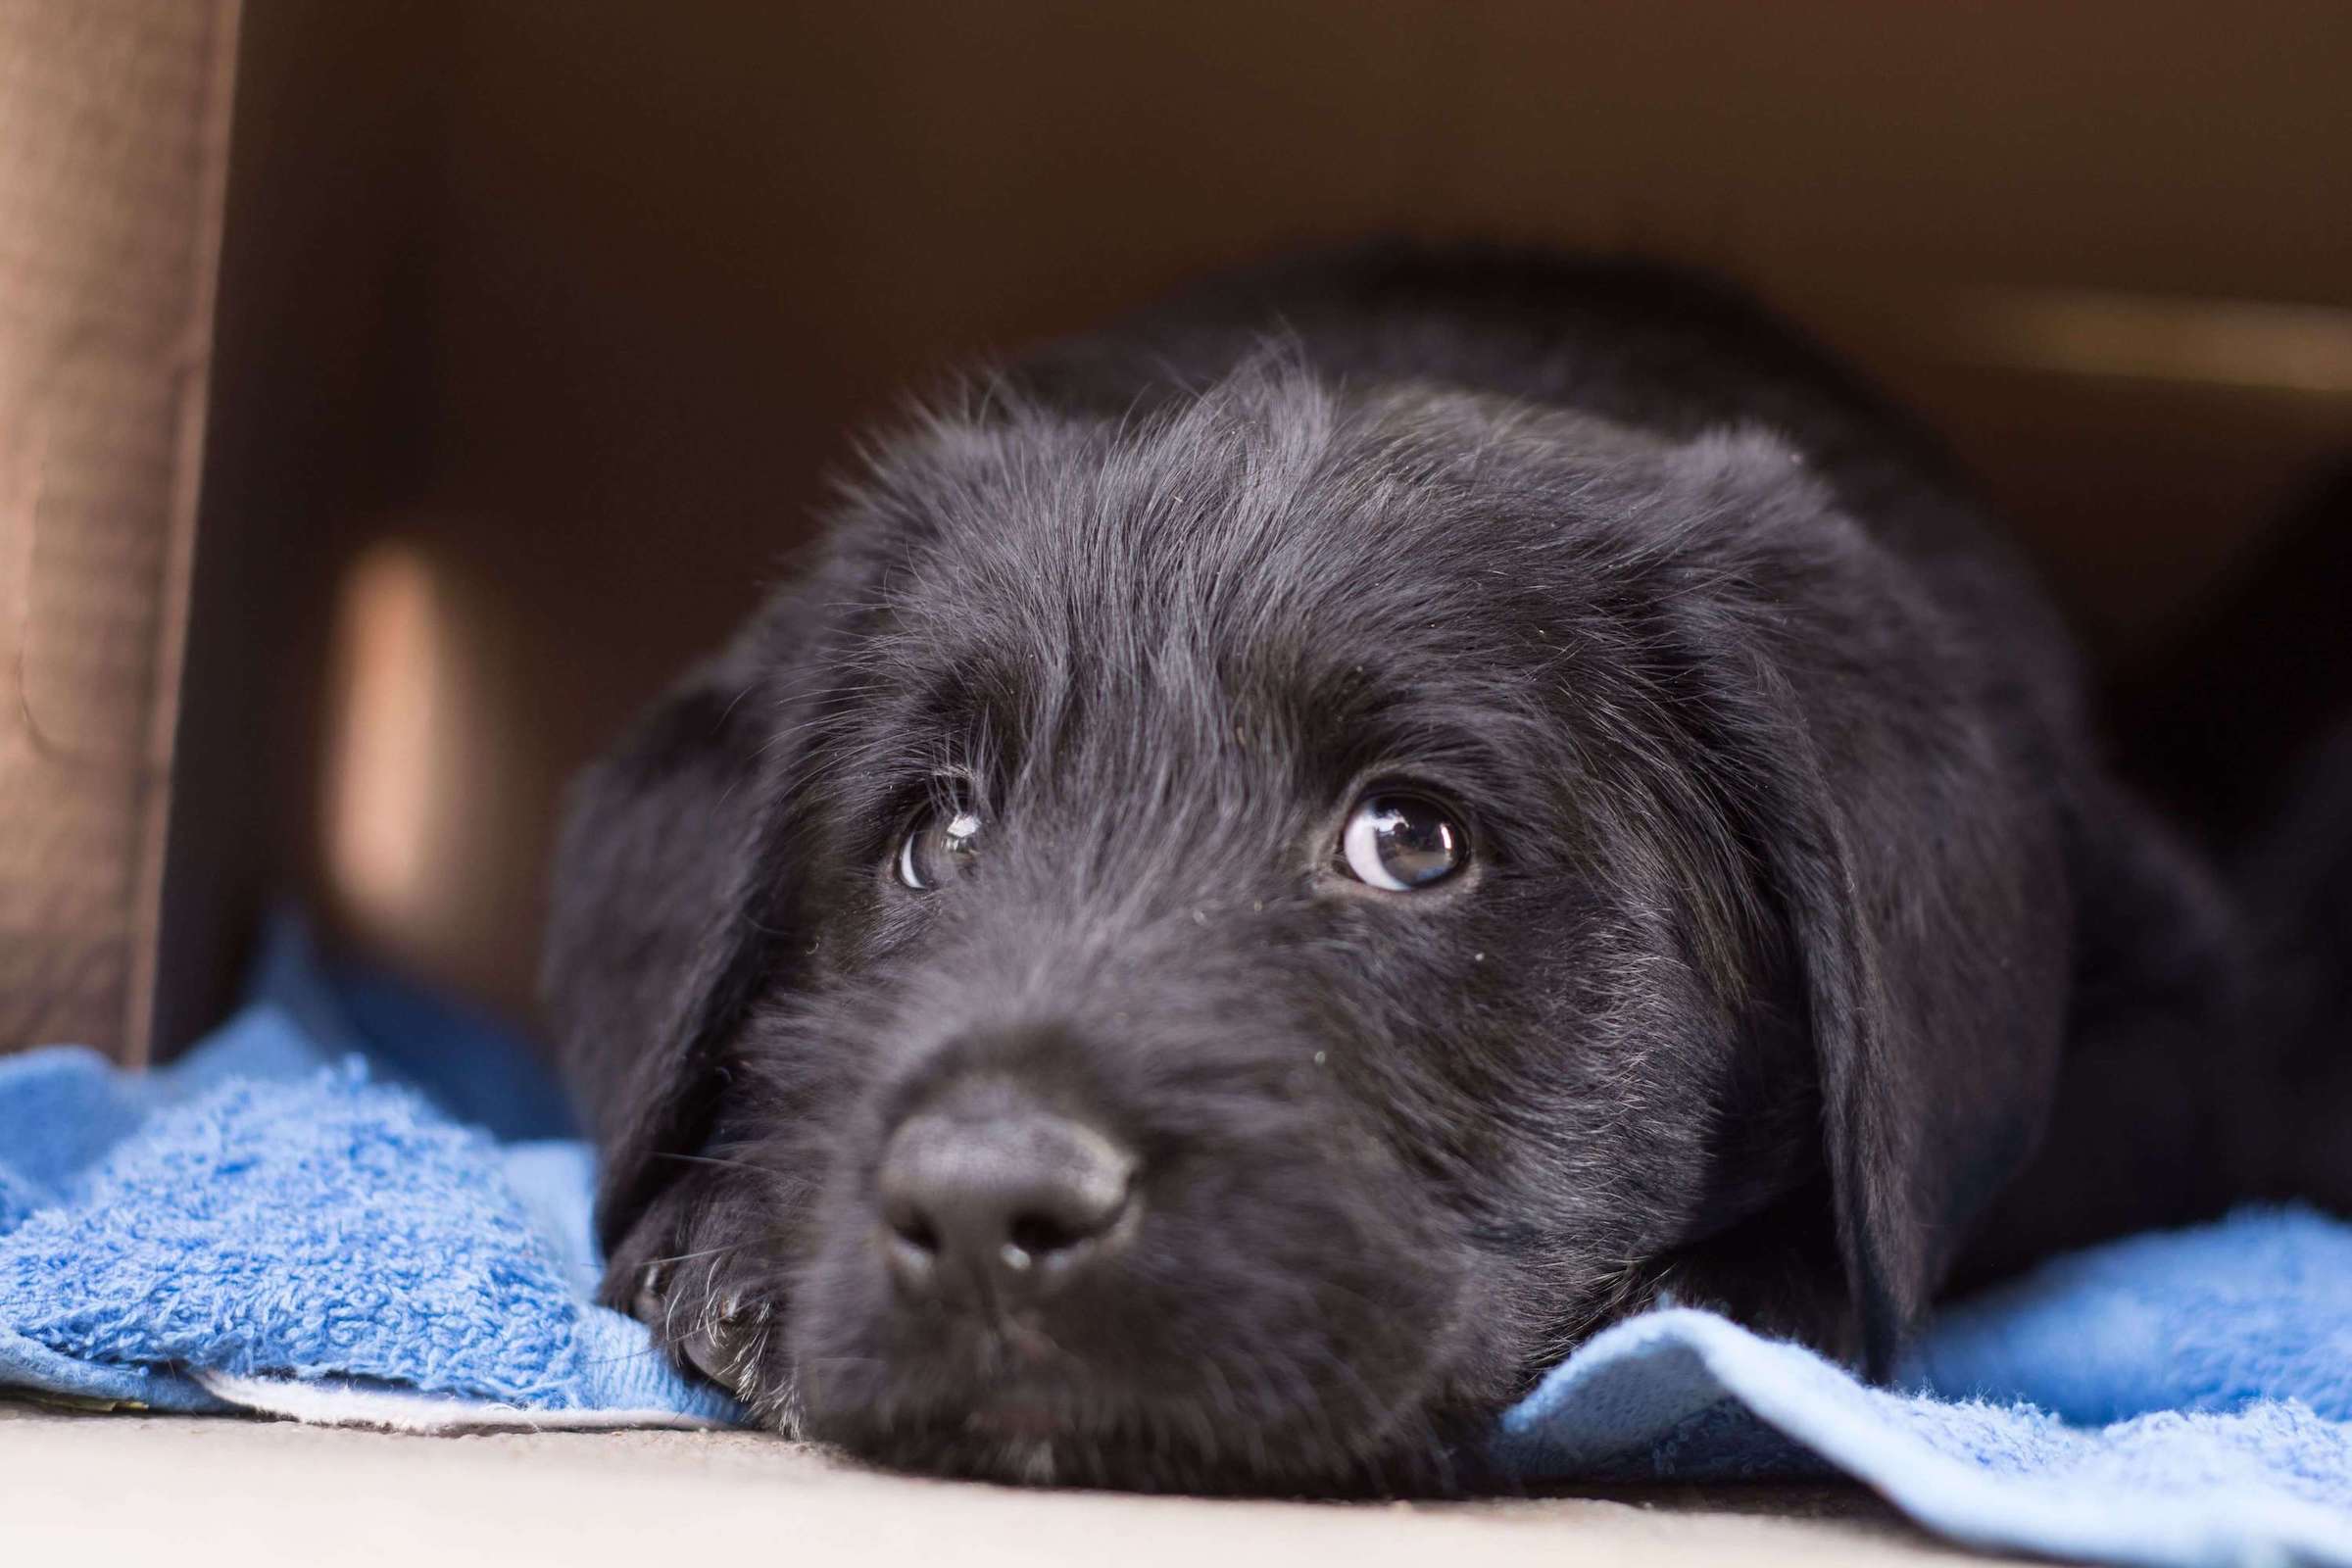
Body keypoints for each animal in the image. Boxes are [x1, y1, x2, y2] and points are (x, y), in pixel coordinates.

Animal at [541, 248, 2285, 1494]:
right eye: (937, 836)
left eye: (1409, 840)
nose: (983, 1205)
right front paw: (736, 1236)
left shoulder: (2185, 1032)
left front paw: (1711, 1295)